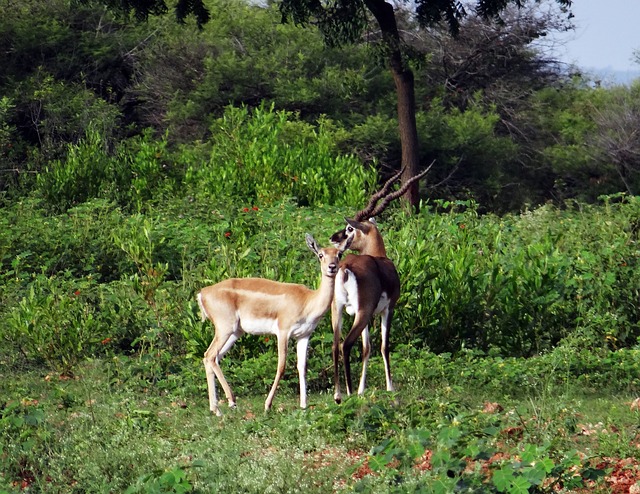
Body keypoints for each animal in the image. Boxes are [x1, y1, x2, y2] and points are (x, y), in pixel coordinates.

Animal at [199, 233, 352, 414]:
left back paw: (217, 407)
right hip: (225, 328)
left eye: (339, 254)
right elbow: (281, 366)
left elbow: (302, 367)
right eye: (320, 255)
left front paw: (303, 405)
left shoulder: (304, 335)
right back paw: (227, 403)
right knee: (210, 355)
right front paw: (267, 405)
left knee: (213, 358)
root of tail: (203, 293)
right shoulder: (283, 332)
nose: (332, 267)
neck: (307, 301)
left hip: (235, 332)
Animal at [330, 165, 430, 402]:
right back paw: (348, 392)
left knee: (336, 345)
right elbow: (384, 346)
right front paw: (390, 387)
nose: (333, 238)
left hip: (338, 310)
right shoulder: (387, 309)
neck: (380, 259)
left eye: (349, 229)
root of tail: (346, 268)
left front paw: (362, 389)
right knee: (346, 344)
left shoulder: (367, 316)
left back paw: (339, 393)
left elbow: (367, 348)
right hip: (362, 311)